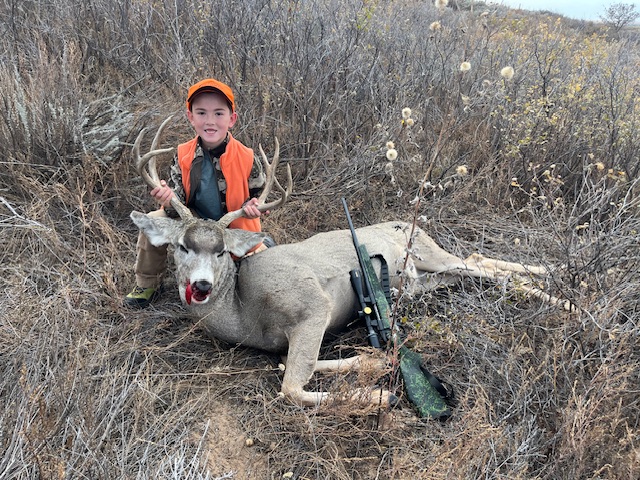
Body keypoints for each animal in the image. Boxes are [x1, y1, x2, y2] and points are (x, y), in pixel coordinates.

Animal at [129, 118, 572, 409]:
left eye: (221, 251)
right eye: (182, 247)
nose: (201, 286)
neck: (244, 309)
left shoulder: (313, 307)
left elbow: (292, 385)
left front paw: (384, 393)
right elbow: (289, 364)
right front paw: (373, 362)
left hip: (428, 252)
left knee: (480, 266)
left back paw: (561, 294)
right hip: (421, 281)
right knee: (474, 265)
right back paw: (555, 280)